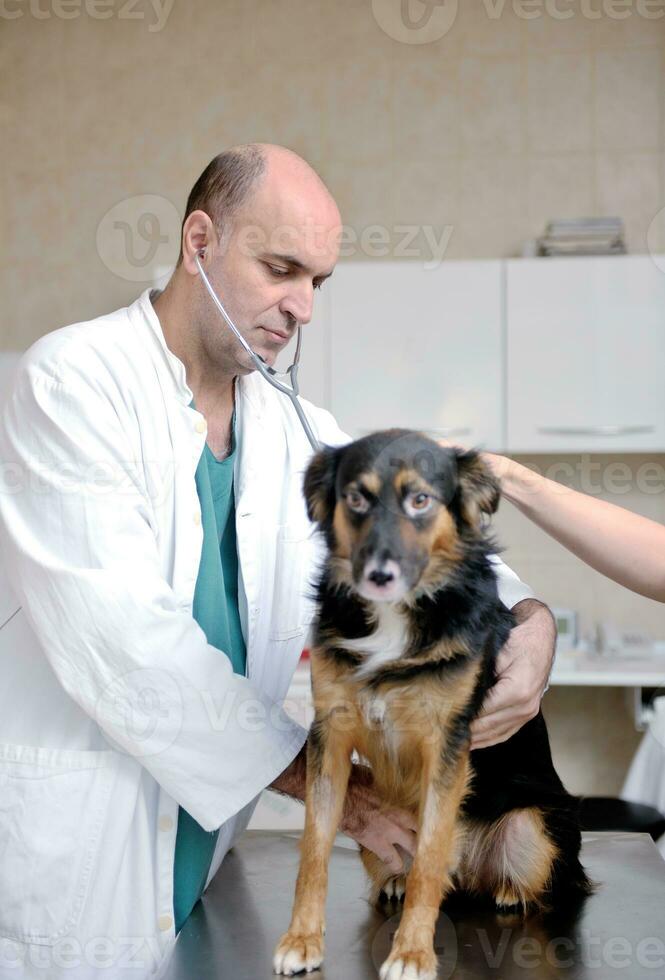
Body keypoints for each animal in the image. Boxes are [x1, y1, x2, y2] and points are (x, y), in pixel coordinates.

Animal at [272, 428, 588, 980]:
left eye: (420, 500)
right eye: (356, 498)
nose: (379, 574)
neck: (393, 618)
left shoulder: (448, 746)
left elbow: (429, 859)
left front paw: (412, 953)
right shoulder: (329, 735)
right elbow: (313, 848)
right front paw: (302, 939)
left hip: (536, 826)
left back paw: (509, 891)